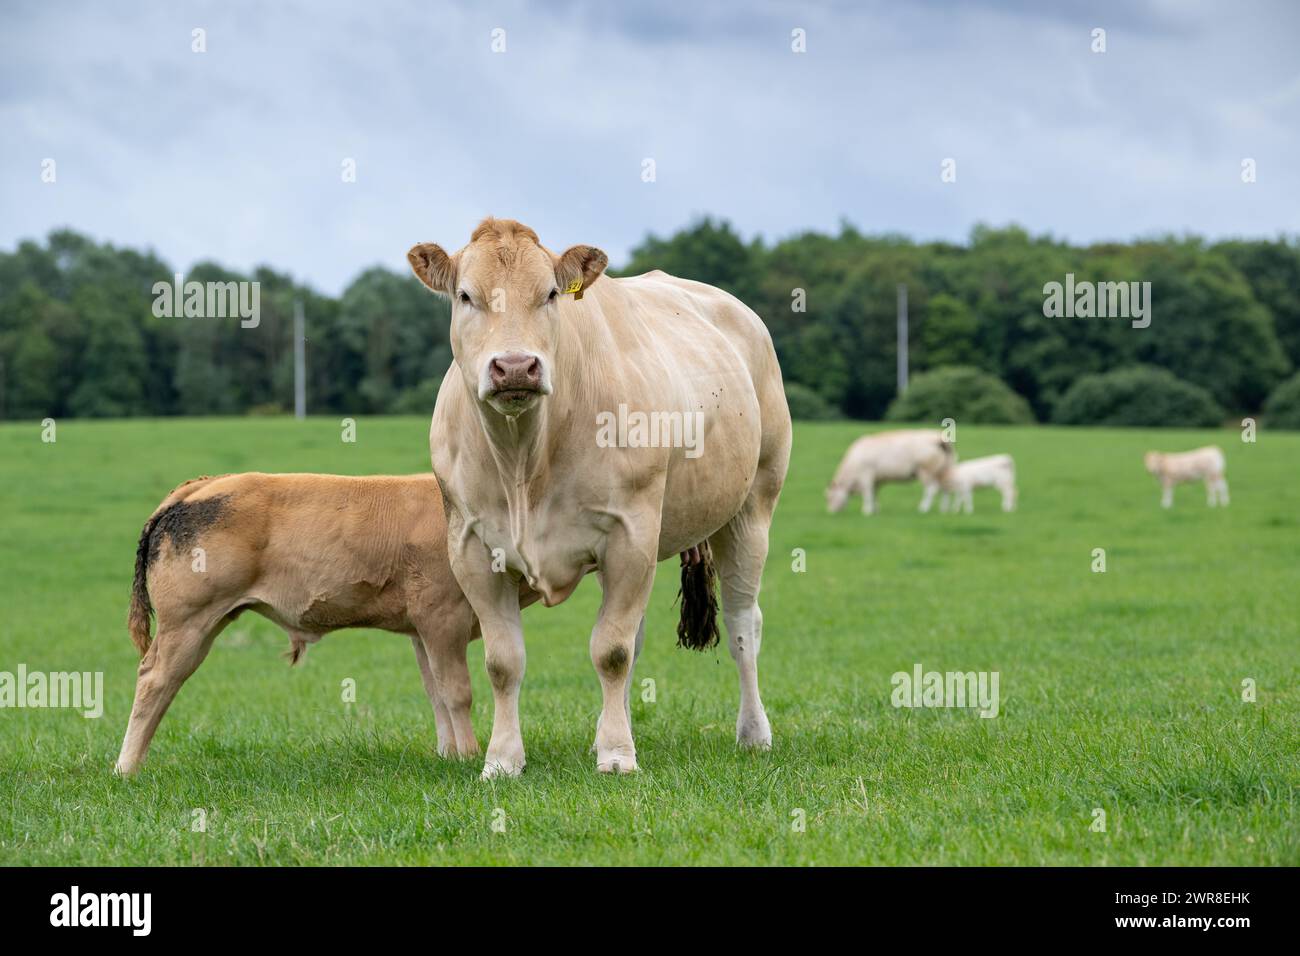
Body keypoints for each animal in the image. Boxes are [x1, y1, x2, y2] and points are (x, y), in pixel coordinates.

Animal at [115, 473, 479, 775]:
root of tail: (203, 485)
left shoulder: (420, 628)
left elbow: (436, 691)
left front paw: (449, 755)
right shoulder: (442, 615)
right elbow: (456, 691)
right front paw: (470, 757)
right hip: (188, 621)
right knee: (155, 681)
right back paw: (127, 768)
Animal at [409, 217, 792, 778]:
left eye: (550, 294)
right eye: (465, 296)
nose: (516, 367)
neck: (524, 460)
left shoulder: (630, 535)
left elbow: (610, 650)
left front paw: (616, 756)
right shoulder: (472, 549)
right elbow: (504, 662)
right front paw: (503, 759)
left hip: (752, 507)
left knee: (745, 625)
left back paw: (754, 733)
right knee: (639, 634)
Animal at [825, 429, 954, 515]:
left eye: (829, 497)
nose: (831, 512)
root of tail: (936, 438)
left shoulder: (866, 476)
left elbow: (867, 494)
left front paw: (867, 511)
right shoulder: (876, 480)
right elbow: (874, 494)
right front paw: (875, 510)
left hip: (926, 471)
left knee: (931, 489)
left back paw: (923, 508)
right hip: (945, 470)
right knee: (945, 488)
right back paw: (944, 510)